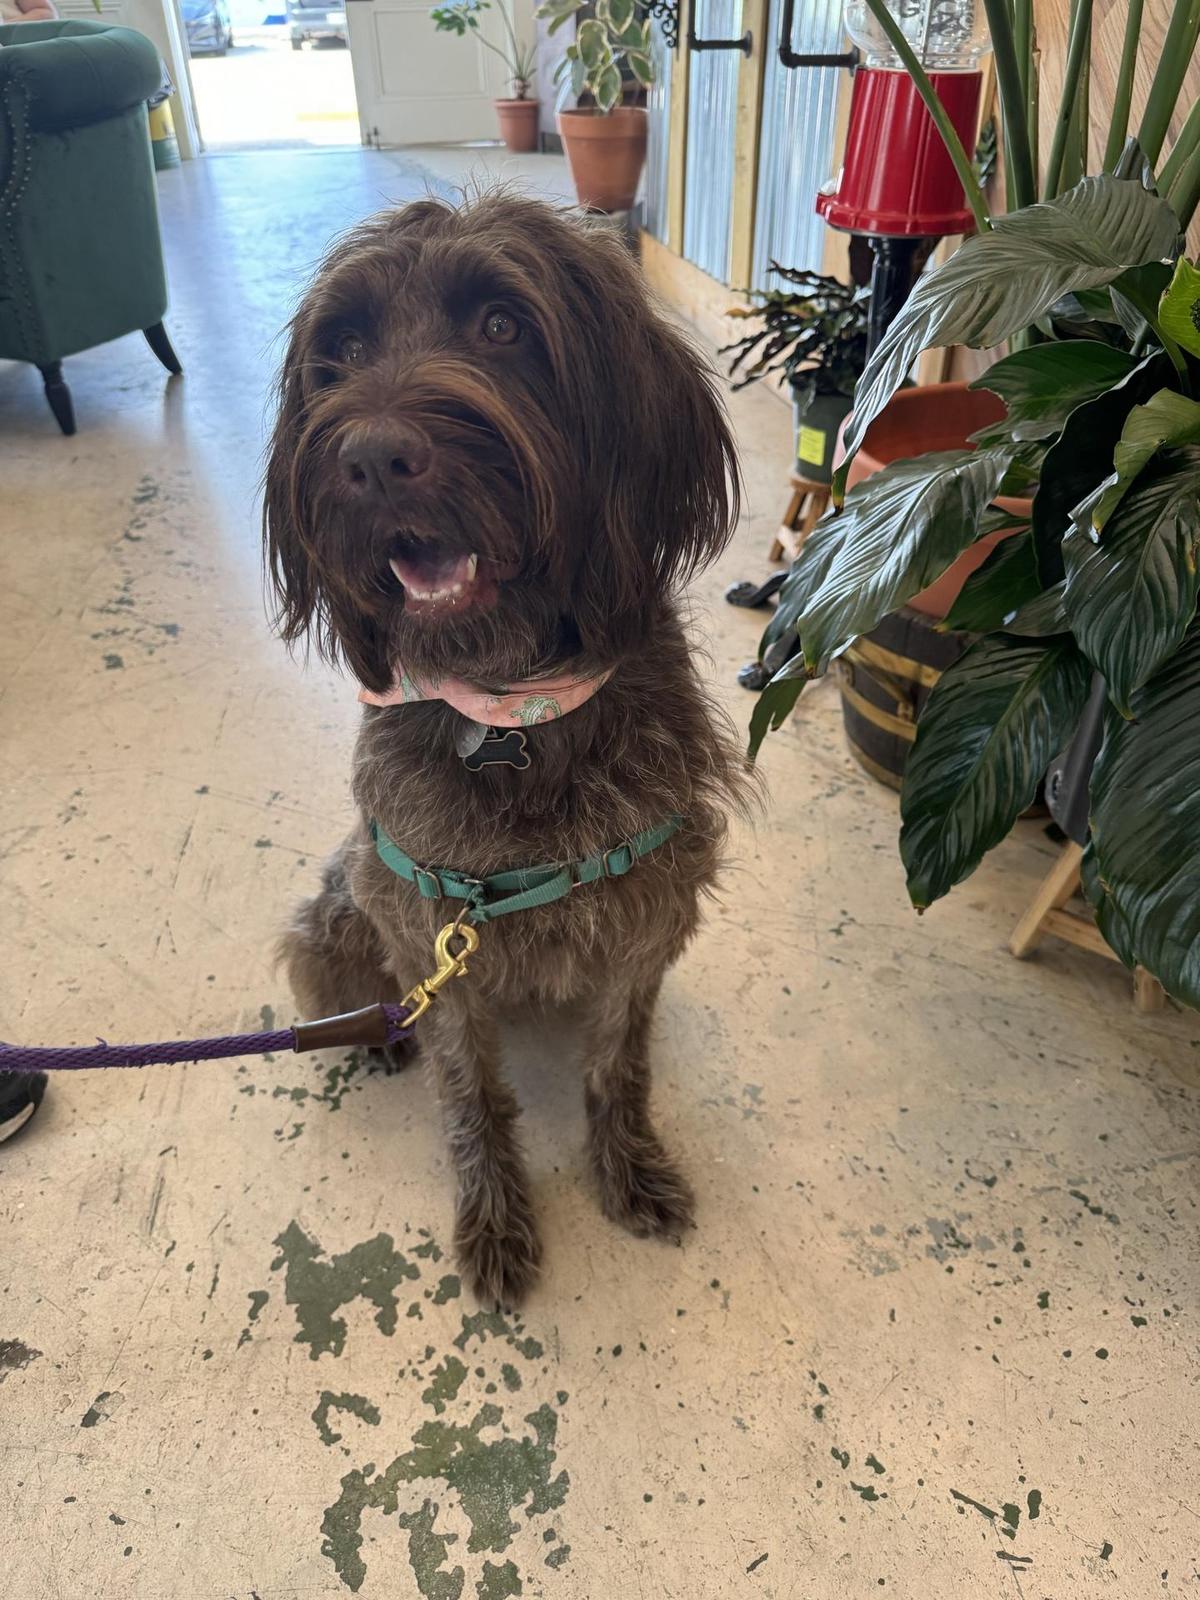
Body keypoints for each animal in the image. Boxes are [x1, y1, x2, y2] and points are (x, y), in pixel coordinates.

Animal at [267, 193, 748, 1305]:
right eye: (339, 351)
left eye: (501, 325)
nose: (371, 458)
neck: (511, 717)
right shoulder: (429, 929)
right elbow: (471, 1090)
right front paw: (492, 1216)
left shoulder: (646, 915)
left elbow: (617, 1066)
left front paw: (626, 1166)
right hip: (333, 918)